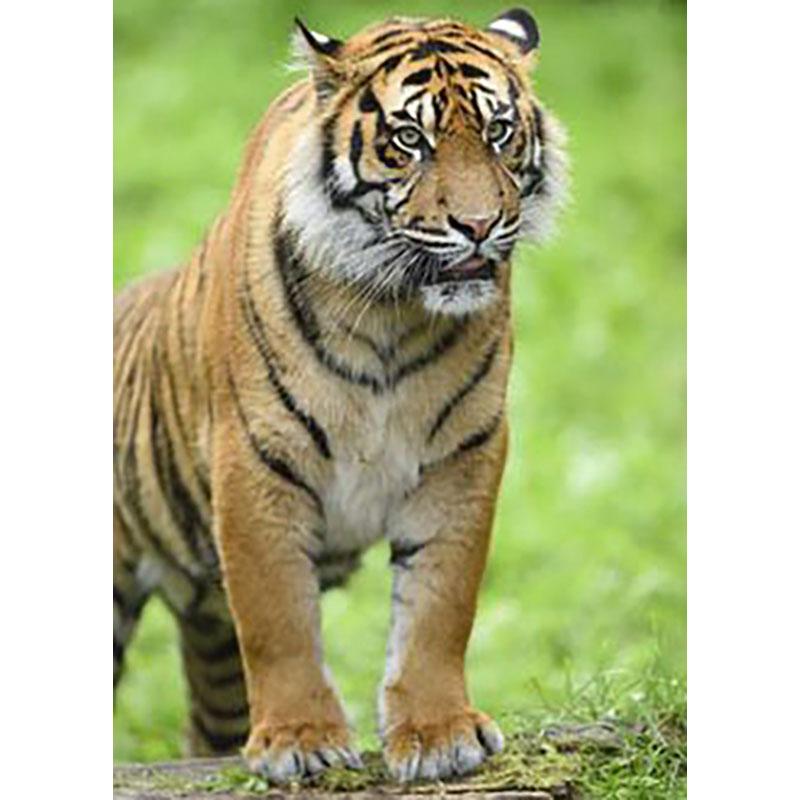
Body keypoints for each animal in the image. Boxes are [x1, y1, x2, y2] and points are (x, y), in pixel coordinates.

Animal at [113, 6, 568, 783]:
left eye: (500, 131)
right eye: (410, 139)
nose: (479, 226)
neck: (393, 312)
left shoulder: (463, 455)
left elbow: (439, 607)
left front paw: (439, 733)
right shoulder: (257, 458)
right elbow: (279, 619)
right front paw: (300, 739)